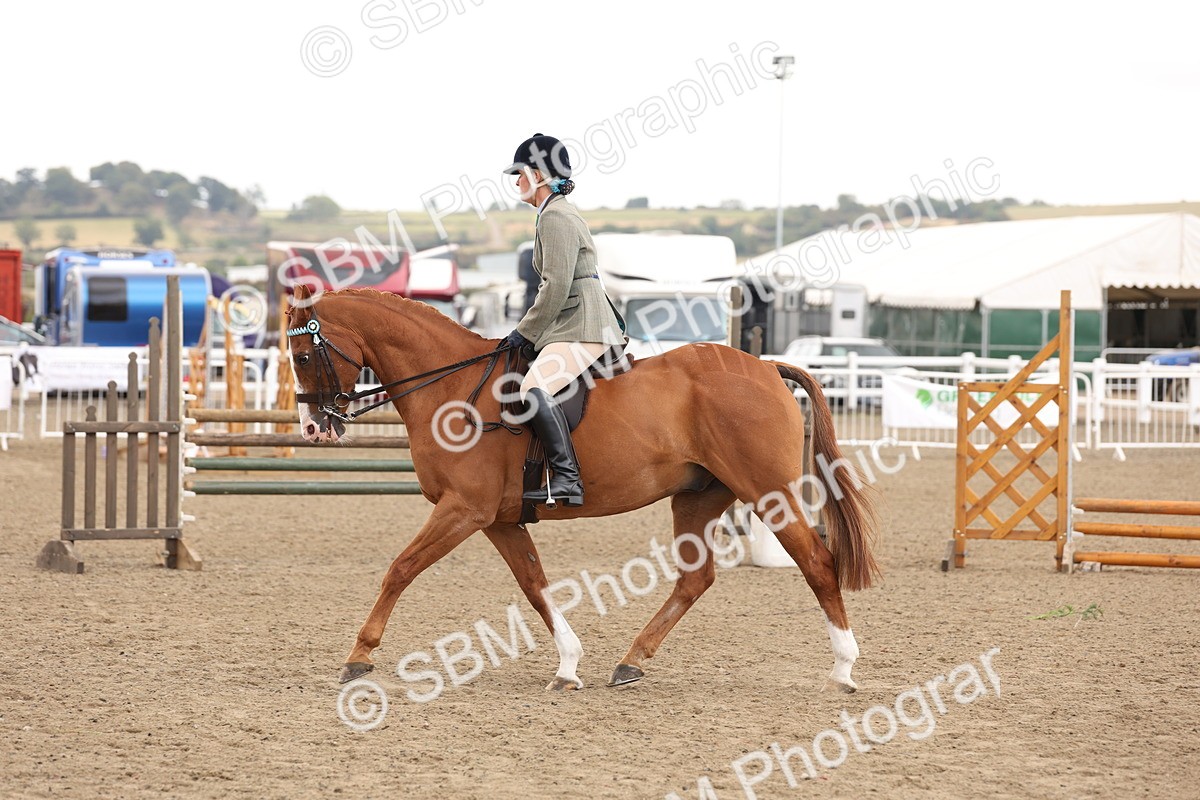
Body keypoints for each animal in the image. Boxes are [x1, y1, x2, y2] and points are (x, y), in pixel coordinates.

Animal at [284, 286, 880, 693]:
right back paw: (631, 661)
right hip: (699, 496)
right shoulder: (498, 519)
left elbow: (400, 568)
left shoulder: (464, 510)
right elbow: (535, 585)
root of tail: (765, 366)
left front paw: (359, 655)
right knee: (696, 579)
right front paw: (569, 665)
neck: (452, 386)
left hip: (766, 492)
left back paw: (843, 669)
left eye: (304, 356)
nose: (314, 428)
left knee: (817, 563)